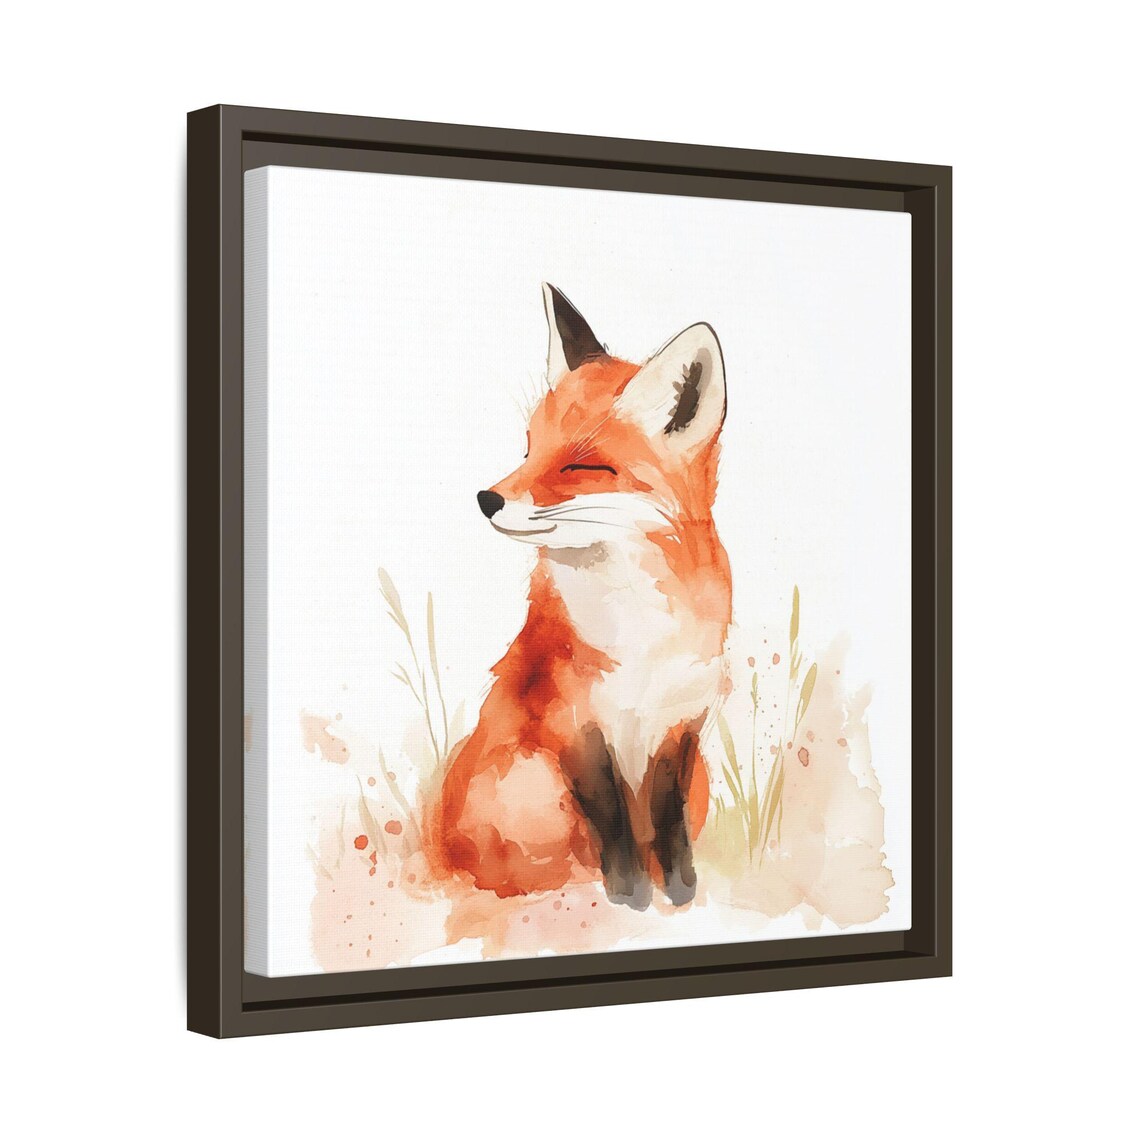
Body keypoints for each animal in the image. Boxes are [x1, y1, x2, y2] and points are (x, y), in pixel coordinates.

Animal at [426, 284, 731, 910]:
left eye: (581, 465)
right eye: (528, 449)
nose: (486, 499)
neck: (642, 636)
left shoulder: (682, 723)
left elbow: (668, 823)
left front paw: (680, 894)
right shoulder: (573, 725)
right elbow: (611, 822)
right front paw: (632, 899)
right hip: (531, 780)